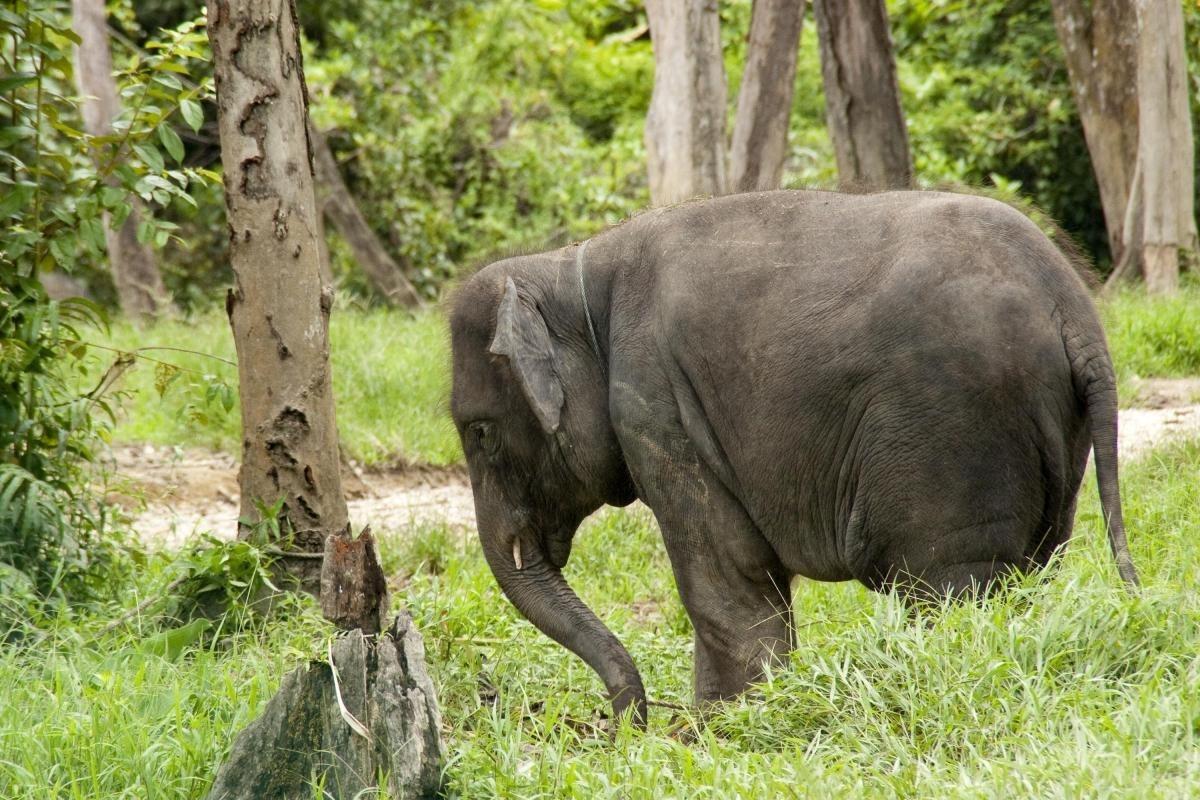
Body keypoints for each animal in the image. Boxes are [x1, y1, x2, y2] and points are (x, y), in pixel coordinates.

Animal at [446, 190, 1137, 729]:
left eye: (479, 432)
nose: (622, 727)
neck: (573, 269)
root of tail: (1075, 312)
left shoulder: (654, 405)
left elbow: (726, 572)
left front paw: (723, 730)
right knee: (1031, 571)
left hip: (958, 432)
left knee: (948, 587)